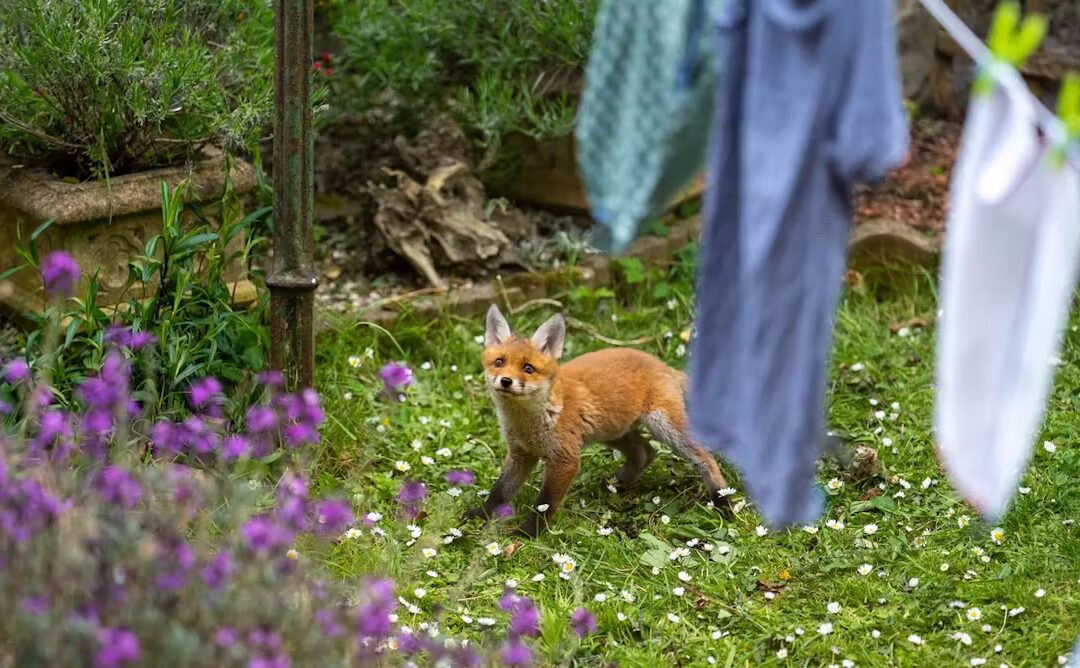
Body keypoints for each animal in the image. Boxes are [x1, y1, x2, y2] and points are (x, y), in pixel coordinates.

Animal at [462, 304, 725, 537]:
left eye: (528, 368)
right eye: (499, 362)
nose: (506, 381)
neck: (528, 424)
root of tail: (663, 365)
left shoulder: (566, 460)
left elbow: (545, 504)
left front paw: (528, 533)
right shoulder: (520, 455)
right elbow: (499, 491)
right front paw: (480, 515)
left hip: (665, 428)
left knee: (705, 457)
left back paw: (723, 501)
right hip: (611, 432)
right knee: (645, 452)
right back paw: (616, 485)